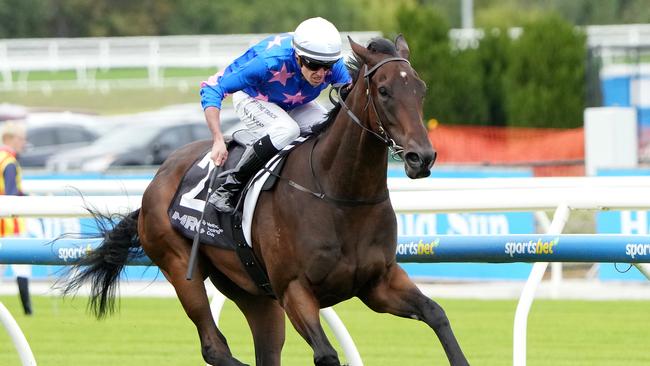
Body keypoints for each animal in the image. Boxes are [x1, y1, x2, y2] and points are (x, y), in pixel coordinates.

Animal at [63, 36, 468, 366]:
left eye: (420, 89)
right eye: (383, 90)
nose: (421, 157)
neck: (341, 196)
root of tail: (156, 182)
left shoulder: (378, 282)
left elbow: (437, 314)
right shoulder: (295, 290)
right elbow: (326, 354)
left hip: (253, 292)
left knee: (263, 349)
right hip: (180, 266)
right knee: (214, 347)